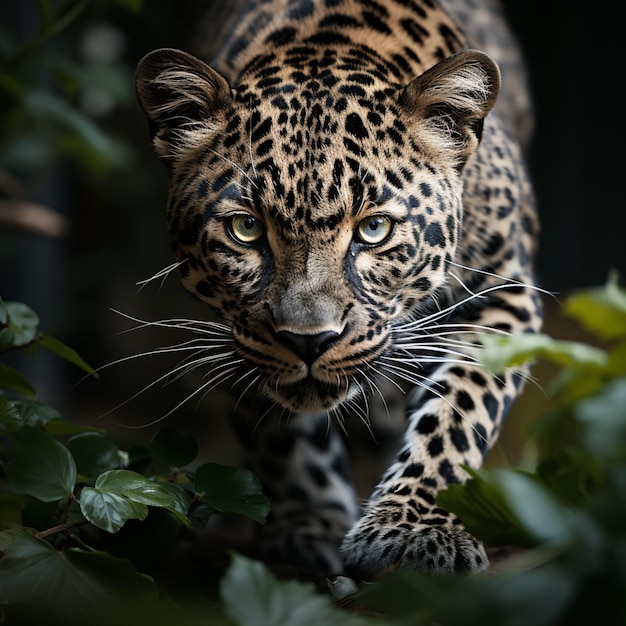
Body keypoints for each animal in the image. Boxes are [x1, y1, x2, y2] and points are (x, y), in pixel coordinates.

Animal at [135, 0, 540, 580]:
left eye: (374, 229)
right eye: (246, 229)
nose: (309, 341)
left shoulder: (504, 293)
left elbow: (461, 408)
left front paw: (413, 529)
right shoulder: (232, 333)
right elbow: (278, 435)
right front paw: (309, 526)